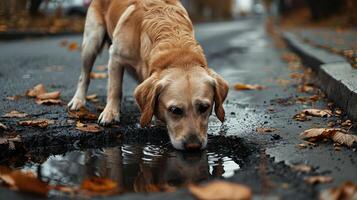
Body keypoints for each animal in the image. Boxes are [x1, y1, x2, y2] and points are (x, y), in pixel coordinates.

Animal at [67, 0, 228, 150]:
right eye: (175, 110)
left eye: (204, 107)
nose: (193, 146)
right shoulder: (116, 57)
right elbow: (115, 89)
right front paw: (110, 113)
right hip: (91, 42)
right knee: (84, 76)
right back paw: (78, 100)